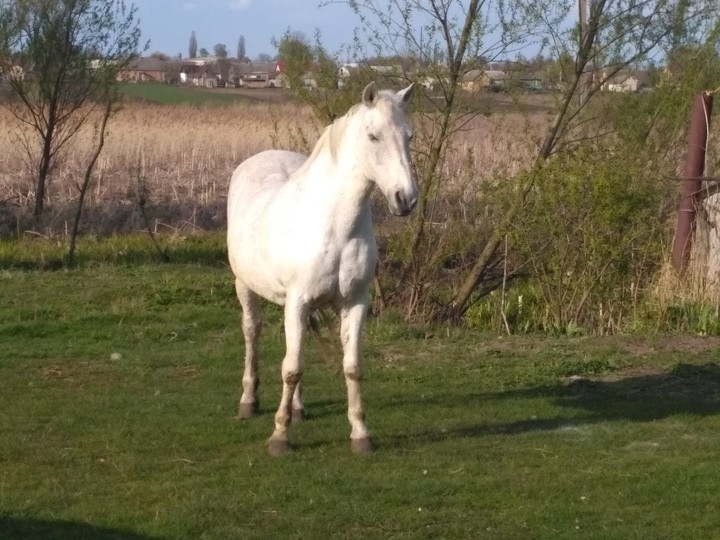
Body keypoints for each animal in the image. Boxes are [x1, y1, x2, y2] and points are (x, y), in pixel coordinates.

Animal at [227, 81, 418, 455]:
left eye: (409, 136)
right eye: (373, 136)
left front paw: (361, 434)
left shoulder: (355, 302)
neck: (335, 225)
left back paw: (298, 408)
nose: (406, 199)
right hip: (246, 286)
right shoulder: (298, 300)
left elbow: (351, 367)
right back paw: (248, 401)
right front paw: (279, 437)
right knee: (252, 333)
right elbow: (291, 368)